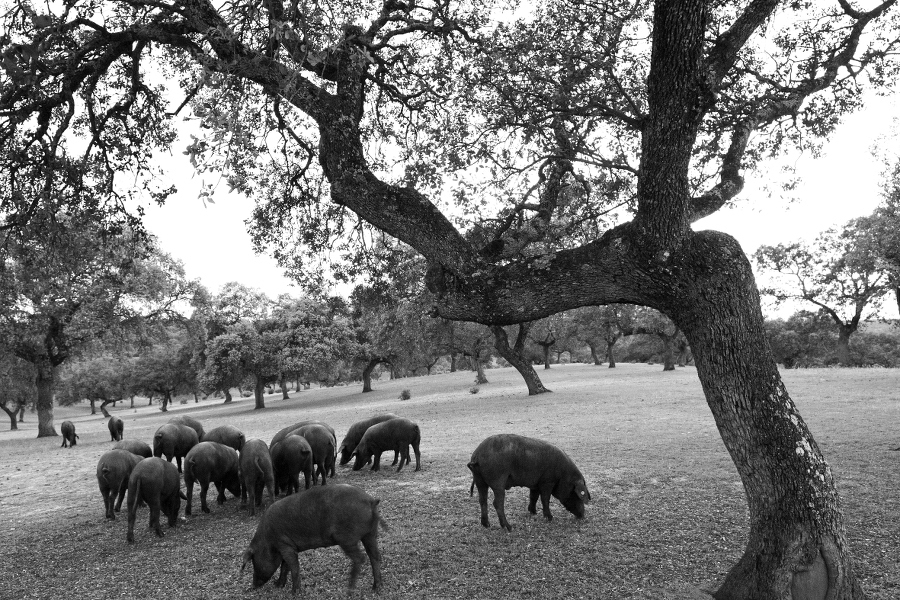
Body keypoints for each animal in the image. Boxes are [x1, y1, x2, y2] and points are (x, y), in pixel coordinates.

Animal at [241, 486, 384, 592]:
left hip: (347, 539)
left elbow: (293, 567)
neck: (267, 540)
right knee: (375, 556)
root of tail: (370, 500)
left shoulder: (284, 545)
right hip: (370, 534)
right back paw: (376, 588)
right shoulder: (286, 547)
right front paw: (278, 585)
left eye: (253, 562)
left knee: (361, 558)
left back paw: (350, 589)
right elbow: (284, 567)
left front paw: (295, 592)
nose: (253, 585)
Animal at [464, 434, 592, 532]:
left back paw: (486, 525)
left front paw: (533, 512)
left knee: (482, 500)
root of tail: (476, 456)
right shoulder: (547, 482)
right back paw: (509, 527)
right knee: (497, 503)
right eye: (577, 495)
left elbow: (533, 497)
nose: (582, 515)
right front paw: (550, 518)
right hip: (498, 481)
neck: (563, 475)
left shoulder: (535, 484)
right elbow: (545, 499)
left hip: (479, 480)